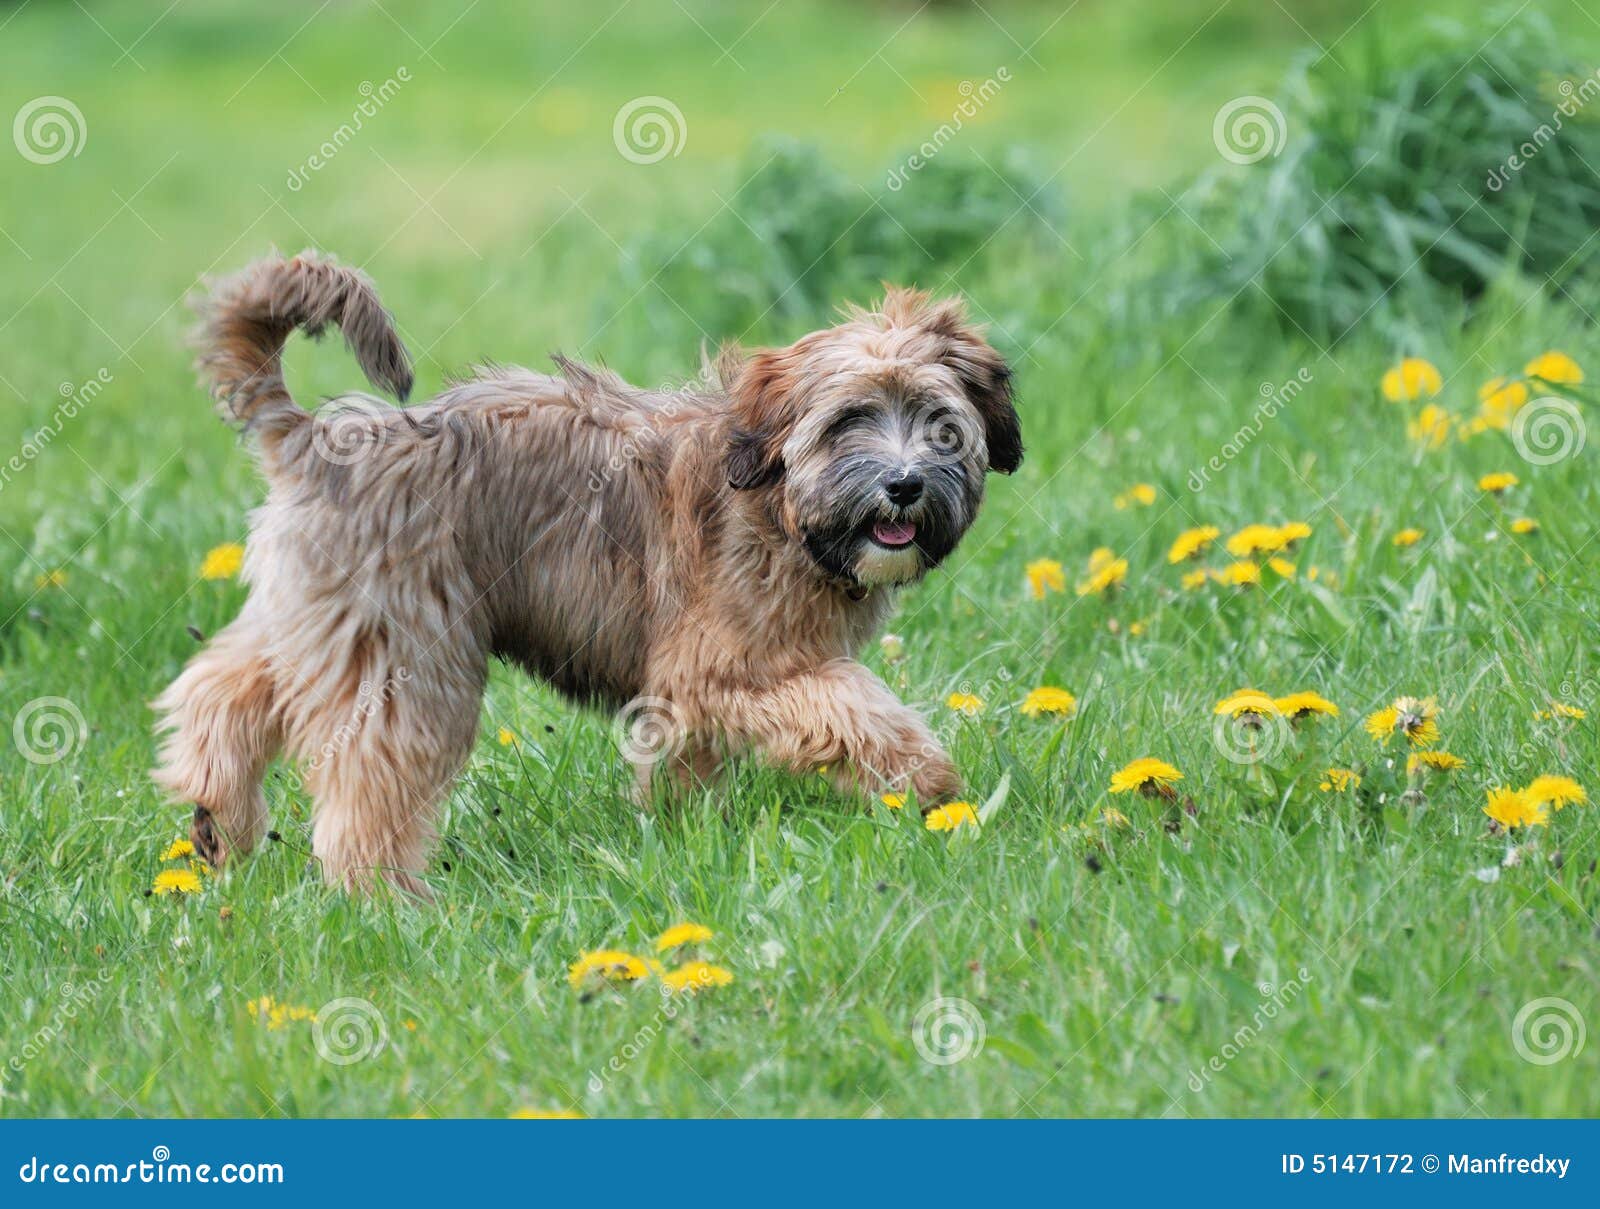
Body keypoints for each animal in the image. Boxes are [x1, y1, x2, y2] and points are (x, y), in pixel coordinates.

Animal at [152, 251, 1024, 895]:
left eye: (942, 425)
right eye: (849, 421)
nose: (904, 485)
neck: (778, 500)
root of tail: (318, 440)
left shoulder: (687, 687)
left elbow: (688, 759)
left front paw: (680, 832)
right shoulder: (721, 665)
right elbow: (852, 708)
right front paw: (929, 780)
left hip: (313, 619)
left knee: (218, 692)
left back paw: (216, 817)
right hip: (404, 653)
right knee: (371, 774)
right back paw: (382, 893)